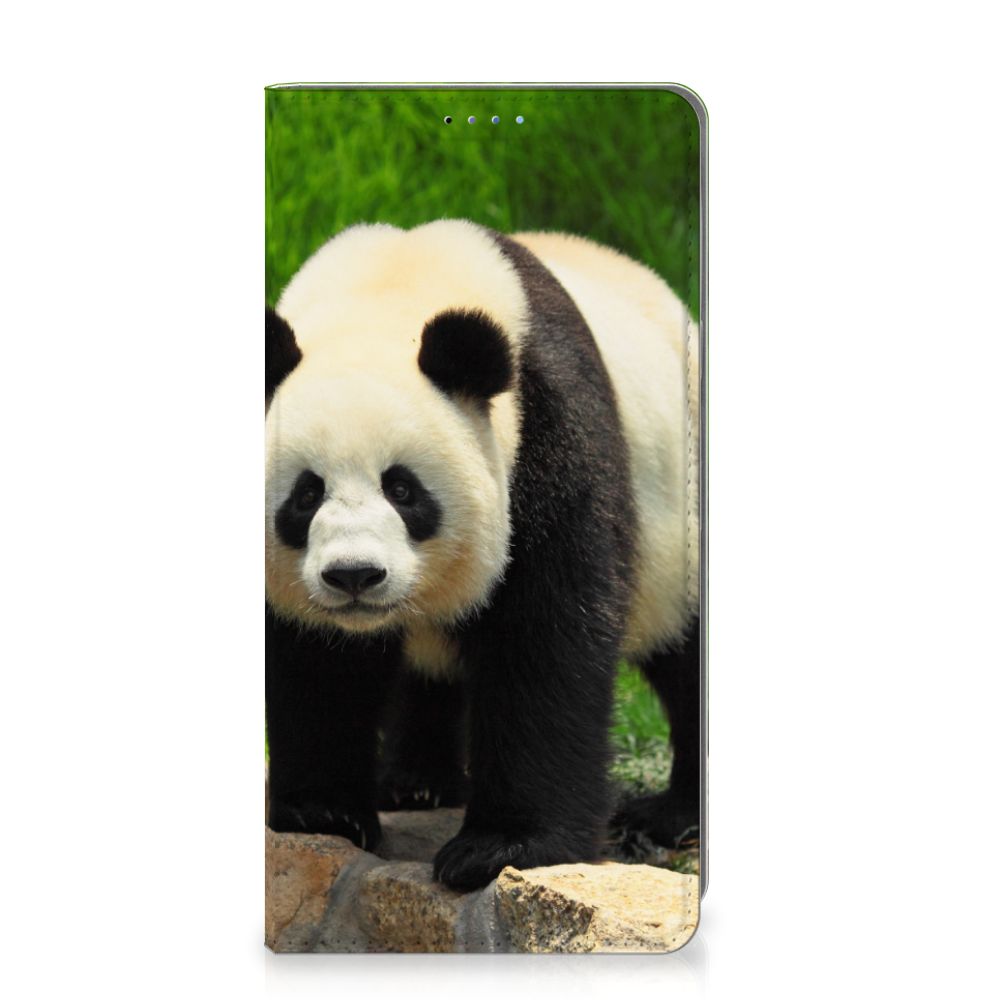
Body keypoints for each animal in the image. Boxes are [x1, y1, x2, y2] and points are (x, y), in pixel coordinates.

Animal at [265, 219, 700, 891]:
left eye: (403, 489)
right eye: (306, 495)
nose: (355, 576)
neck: (389, 290)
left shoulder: (547, 434)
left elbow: (544, 639)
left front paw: (501, 847)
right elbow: (315, 659)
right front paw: (324, 811)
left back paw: (669, 816)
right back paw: (417, 782)